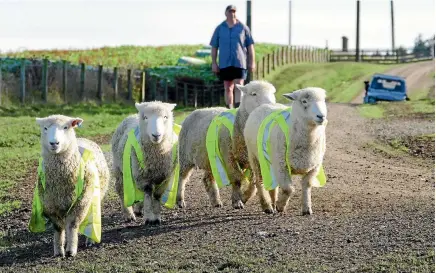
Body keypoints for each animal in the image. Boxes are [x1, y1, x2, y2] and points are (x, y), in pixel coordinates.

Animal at [29, 113, 110, 256]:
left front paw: (71, 250)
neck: (60, 182)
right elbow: (58, 228)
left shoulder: (80, 203)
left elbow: (72, 225)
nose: (54, 143)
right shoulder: (50, 204)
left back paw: (89, 241)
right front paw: (58, 250)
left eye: (66, 127)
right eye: (45, 128)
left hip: (94, 197)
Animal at [245, 87, 328, 215]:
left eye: (323, 100)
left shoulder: (314, 167)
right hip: (254, 157)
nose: (321, 116)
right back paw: (267, 206)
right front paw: (281, 206)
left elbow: (307, 185)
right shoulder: (281, 166)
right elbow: (288, 189)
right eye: (304, 101)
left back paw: (273, 202)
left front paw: (306, 208)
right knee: (259, 181)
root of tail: (264, 105)